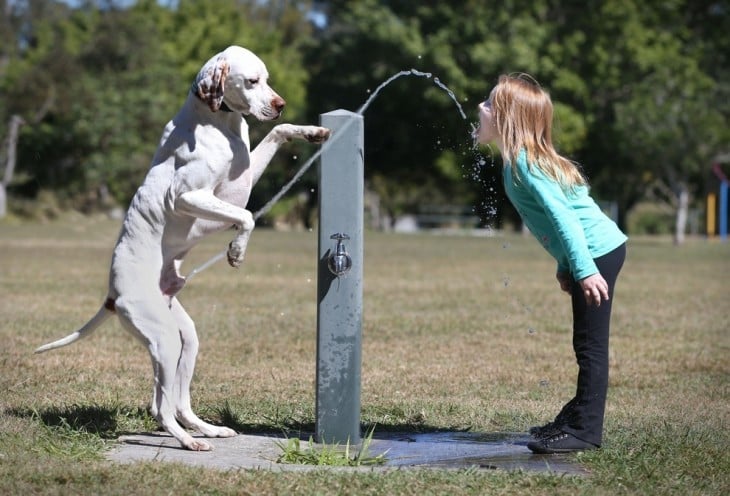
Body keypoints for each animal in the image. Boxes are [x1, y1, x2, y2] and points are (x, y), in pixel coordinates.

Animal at [34, 44, 330, 452]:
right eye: (252, 81)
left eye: (267, 79)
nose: (280, 103)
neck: (217, 122)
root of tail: (112, 295)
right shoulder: (191, 196)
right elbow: (247, 216)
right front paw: (236, 251)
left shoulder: (242, 178)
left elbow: (277, 133)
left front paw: (312, 131)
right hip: (164, 340)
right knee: (160, 407)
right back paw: (189, 442)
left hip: (185, 339)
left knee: (178, 402)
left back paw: (208, 429)